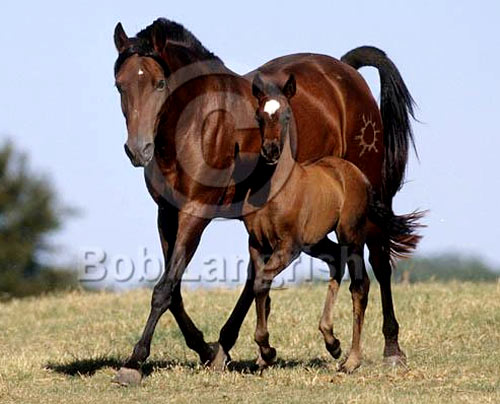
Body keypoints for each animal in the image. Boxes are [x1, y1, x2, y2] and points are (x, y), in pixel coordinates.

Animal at [244, 73, 421, 372]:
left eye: (287, 114)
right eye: (259, 115)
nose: (270, 151)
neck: (277, 189)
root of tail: (359, 176)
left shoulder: (289, 246)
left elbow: (262, 282)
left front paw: (267, 350)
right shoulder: (257, 244)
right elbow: (260, 287)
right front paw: (265, 352)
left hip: (350, 234)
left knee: (360, 285)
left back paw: (351, 359)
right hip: (318, 242)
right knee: (337, 264)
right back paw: (332, 342)